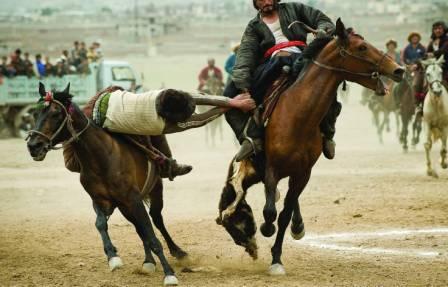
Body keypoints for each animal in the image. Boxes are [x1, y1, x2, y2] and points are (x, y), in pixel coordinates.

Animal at [26, 82, 185, 286]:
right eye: (36, 113)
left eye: (56, 113)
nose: (33, 146)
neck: (102, 158)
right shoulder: (101, 201)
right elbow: (101, 224)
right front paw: (113, 256)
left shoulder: (133, 199)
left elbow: (151, 235)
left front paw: (169, 274)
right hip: (126, 208)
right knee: (139, 228)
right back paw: (148, 261)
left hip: (154, 191)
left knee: (156, 219)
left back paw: (178, 252)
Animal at [215, 18, 404, 276]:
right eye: (361, 47)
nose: (398, 70)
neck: (298, 116)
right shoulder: (271, 169)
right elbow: (270, 211)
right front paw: (266, 231)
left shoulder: (303, 173)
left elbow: (283, 214)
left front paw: (277, 258)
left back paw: (297, 225)